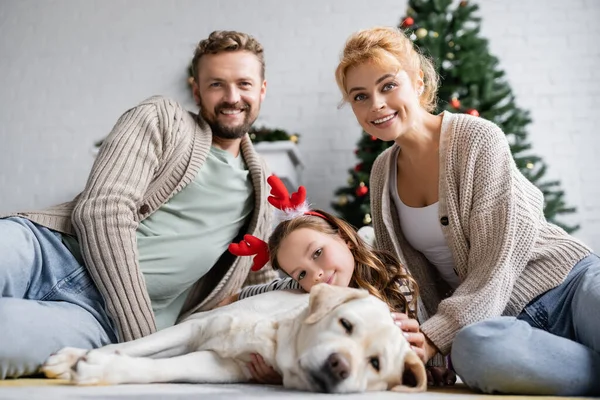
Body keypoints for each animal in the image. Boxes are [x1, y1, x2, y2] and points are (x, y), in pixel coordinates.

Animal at [43, 284, 426, 394]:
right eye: (346, 324)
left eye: (375, 363)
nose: (339, 366)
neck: (274, 337)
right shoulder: (192, 329)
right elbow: (130, 345)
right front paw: (74, 357)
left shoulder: (222, 365)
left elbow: (156, 368)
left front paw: (100, 369)